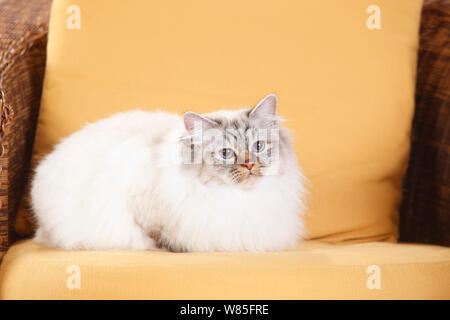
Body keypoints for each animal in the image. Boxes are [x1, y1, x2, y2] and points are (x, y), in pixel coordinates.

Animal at [30, 94, 306, 251]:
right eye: (226, 153)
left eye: (258, 146)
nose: (249, 165)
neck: (240, 200)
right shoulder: (143, 211)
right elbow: (158, 237)